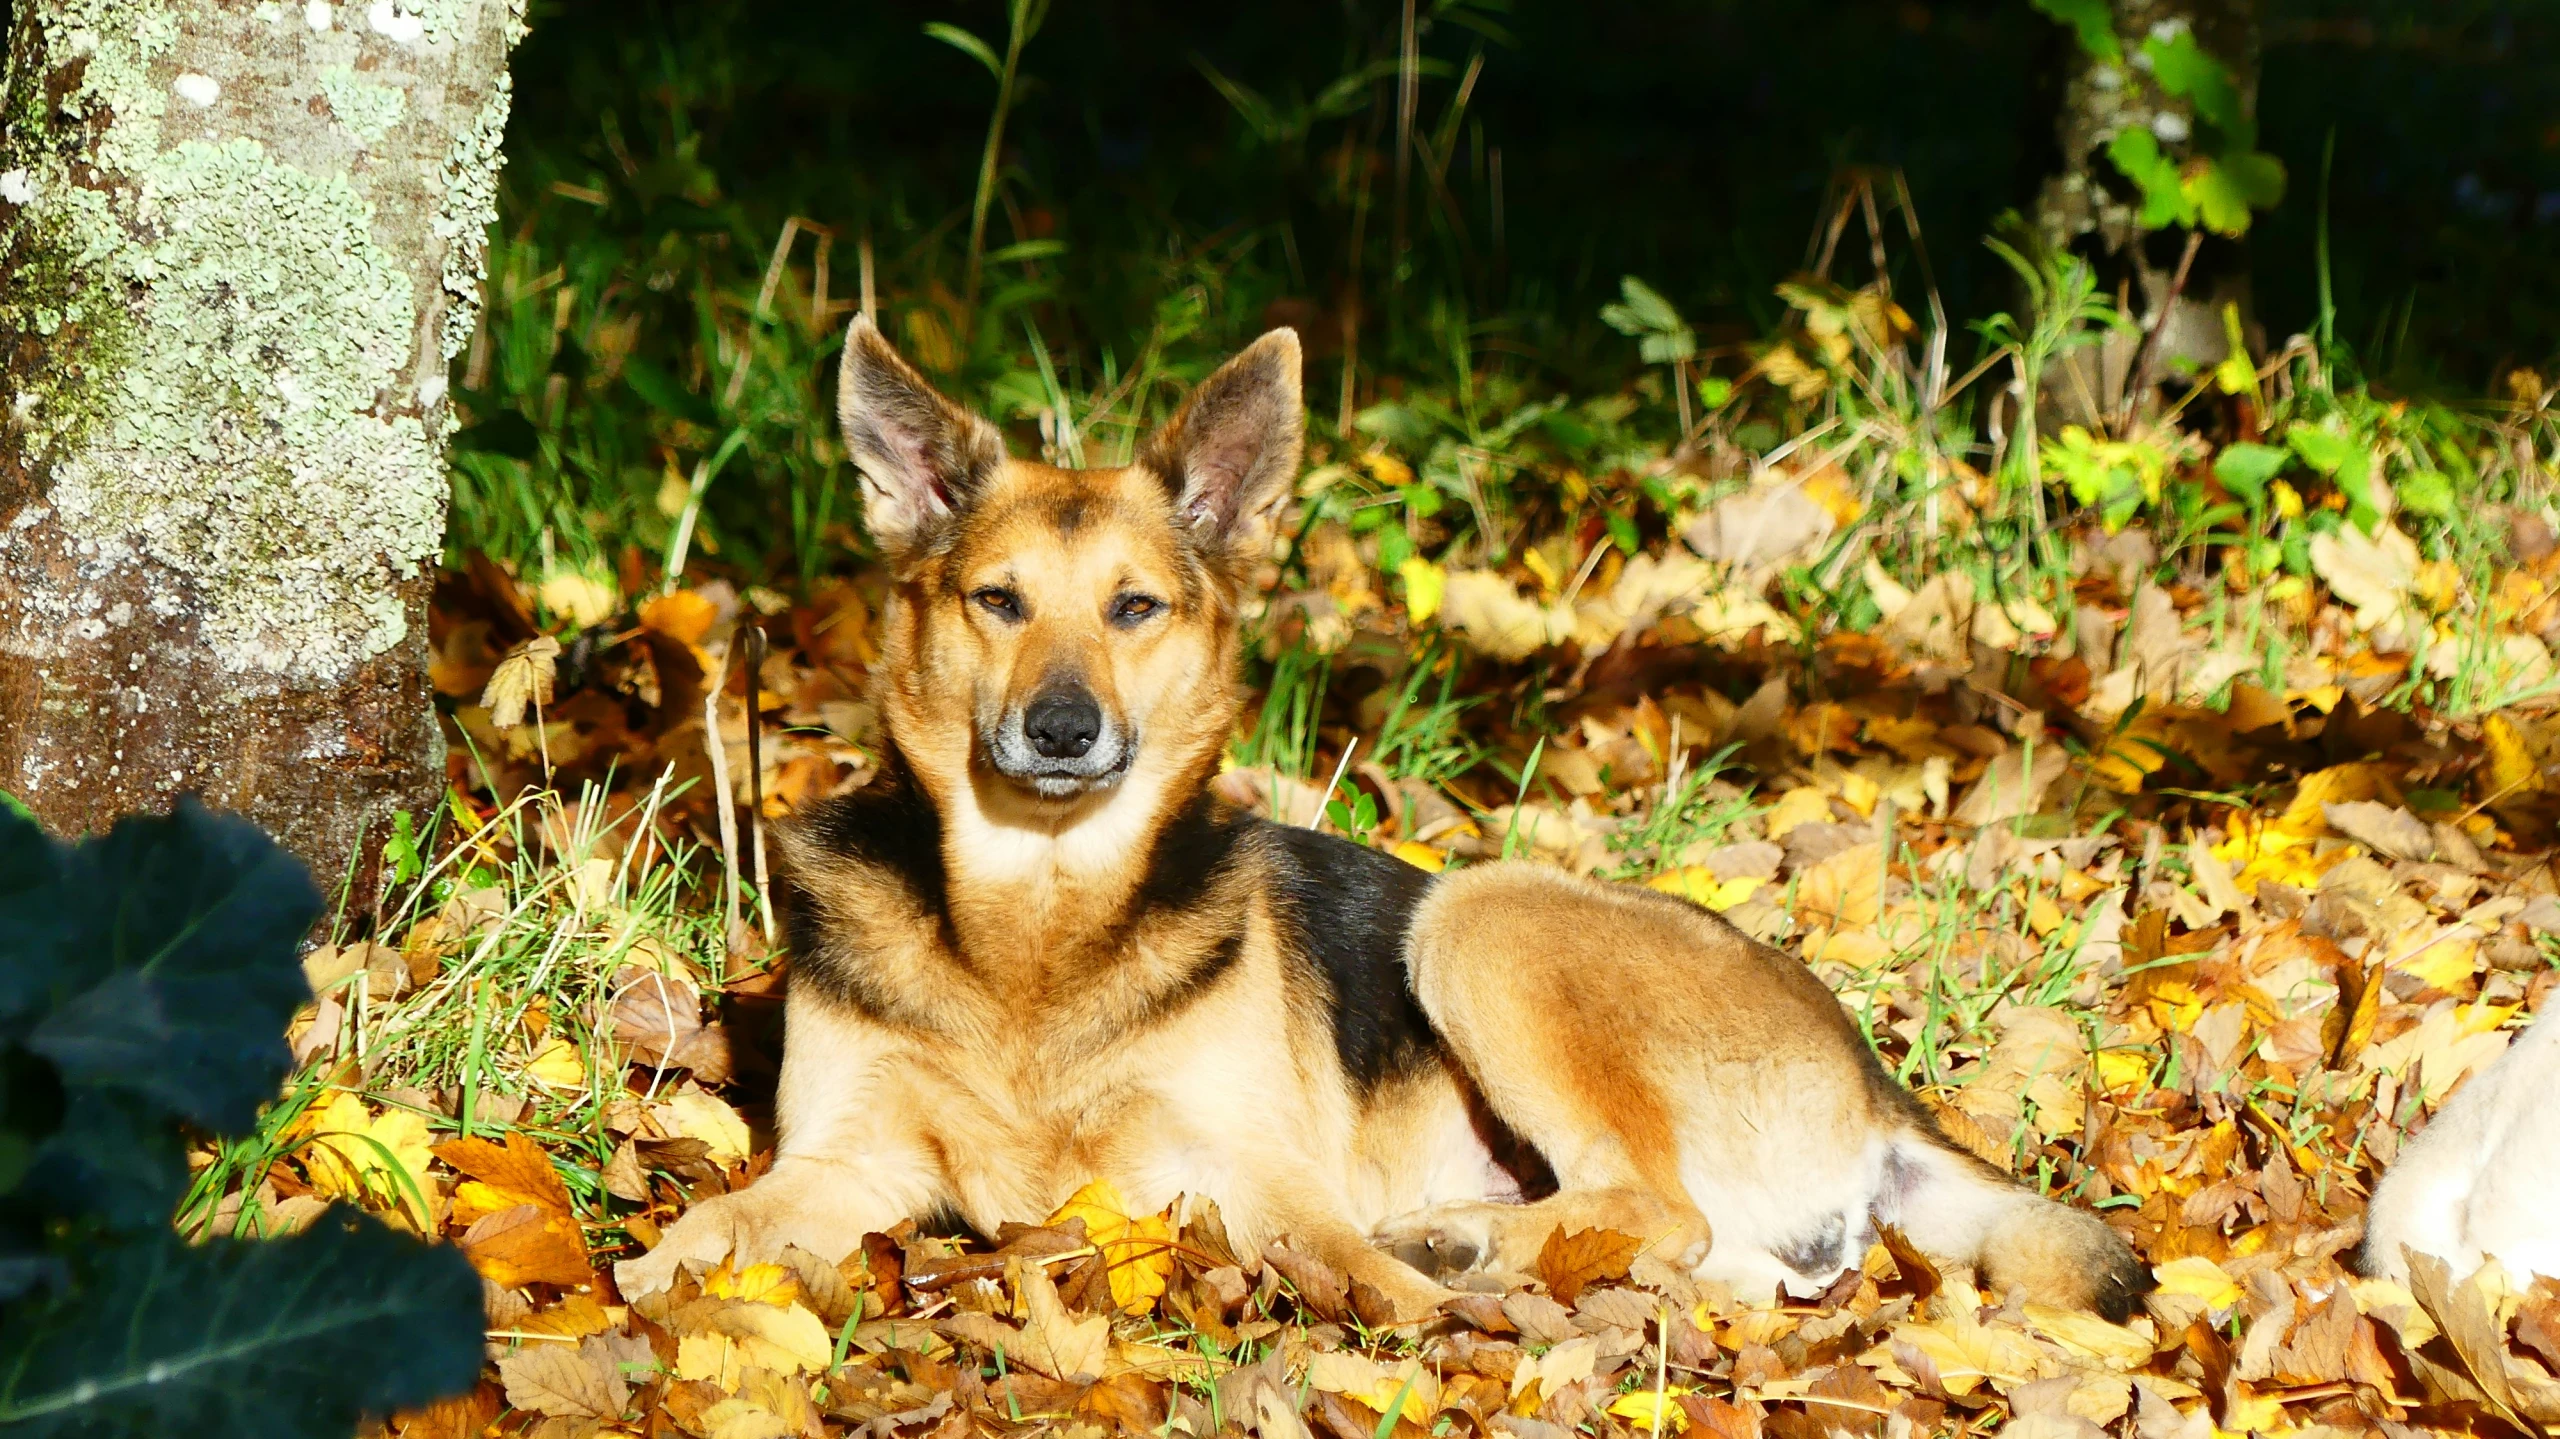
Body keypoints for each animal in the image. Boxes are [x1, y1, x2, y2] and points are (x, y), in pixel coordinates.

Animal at [609, 316, 2150, 1321]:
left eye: (1134, 607)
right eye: (997, 600)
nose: (1060, 728)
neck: (1040, 921)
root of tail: (1875, 1079)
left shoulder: (1257, 1171)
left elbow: (1354, 1266)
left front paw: (1416, 1309)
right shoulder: (846, 1161)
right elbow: (719, 1221)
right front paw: (631, 1292)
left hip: (1483, 914)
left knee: (1656, 1203)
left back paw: (1469, 1244)